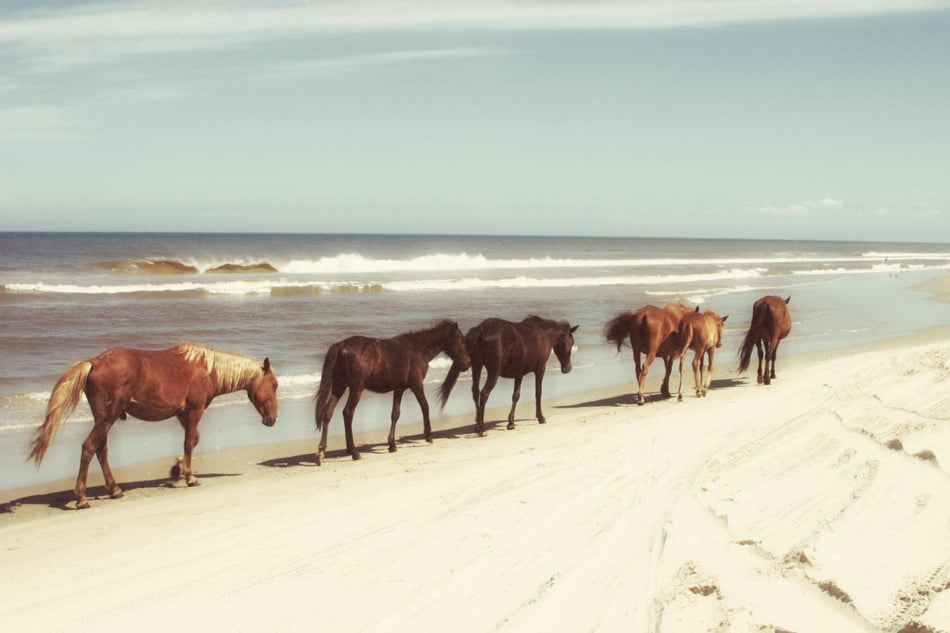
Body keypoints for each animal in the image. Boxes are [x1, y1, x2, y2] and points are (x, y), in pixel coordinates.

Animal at [29, 344, 278, 509]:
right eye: (274, 385)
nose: (273, 418)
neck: (207, 369)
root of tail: (94, 362)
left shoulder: (183, 414)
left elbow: (192, 441)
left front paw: (177, 469)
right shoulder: (194, 411)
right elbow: (190, 442)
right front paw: (189, 477)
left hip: (102, 418)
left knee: (101, 450)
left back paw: (114, 489)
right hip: (107, 417)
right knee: (89, 448)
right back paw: (81, 498)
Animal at [313, 320, 470, 465]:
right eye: (460, 339)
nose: (467, 364)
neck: (418, 349)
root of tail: (341, 346)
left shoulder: (399, 388)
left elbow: (395, 414)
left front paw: (392, 445)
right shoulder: (416, 384)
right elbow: (425, 406)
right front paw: (428, 436)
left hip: (339, 386)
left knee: (328, 412)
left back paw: (321, 451)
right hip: (356, 388)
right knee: (348, 413)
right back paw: (354, 452)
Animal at [438, 316, 578, 437]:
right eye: (571, 343)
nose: (568, 368)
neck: (543, 335)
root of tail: (480, 329)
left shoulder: (519, 373)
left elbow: (516, 396)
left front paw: (511, 422)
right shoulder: (540, 369)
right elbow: (538, 393)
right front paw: (540, 417)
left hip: (476, 367)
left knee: (475, 392)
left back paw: (477, 424)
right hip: (493, 373)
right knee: (484, 394)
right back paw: (481, 429)